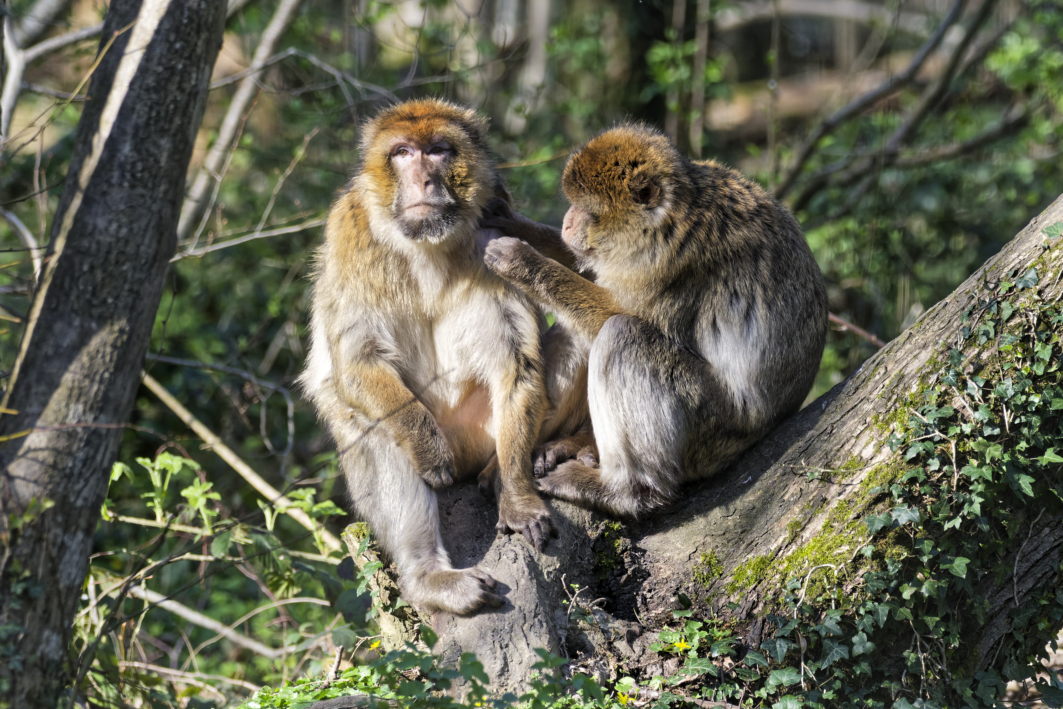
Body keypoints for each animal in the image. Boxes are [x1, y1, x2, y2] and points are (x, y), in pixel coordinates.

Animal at [300, 98, 578, 615]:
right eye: (403, 153)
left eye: (439, 150)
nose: (425, 180)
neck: (425, 242)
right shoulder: (351, 235)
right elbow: (359, 362)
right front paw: (426, 448)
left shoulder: (496, 234)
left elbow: (515, 363)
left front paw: (518, 497)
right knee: (374, 427)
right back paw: (430, 577)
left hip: (484, 431)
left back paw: (498, 474)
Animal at [482, 123, 828, 518]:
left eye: (587, 208)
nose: (567, 221)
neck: (670, 215)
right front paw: (519, 226)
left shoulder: (669, 263)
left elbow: (617, 312)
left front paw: (524, 262)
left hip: (714, 429)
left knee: (622, 334)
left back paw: (627, 490)